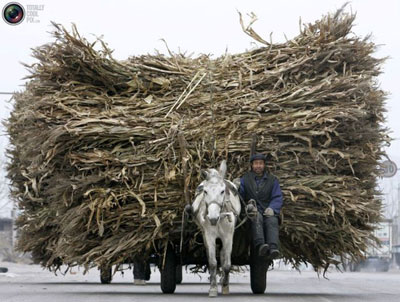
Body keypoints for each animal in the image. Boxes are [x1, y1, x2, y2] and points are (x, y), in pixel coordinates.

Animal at [190, 160, 242, 298]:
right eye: (205, 192)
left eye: (223, 191)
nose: (213, 218)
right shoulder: (209, 235)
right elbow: (213, 262)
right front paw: (213, 288)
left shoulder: (228, 237)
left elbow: (227, 264)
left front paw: (225, 286)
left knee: (223, 256)